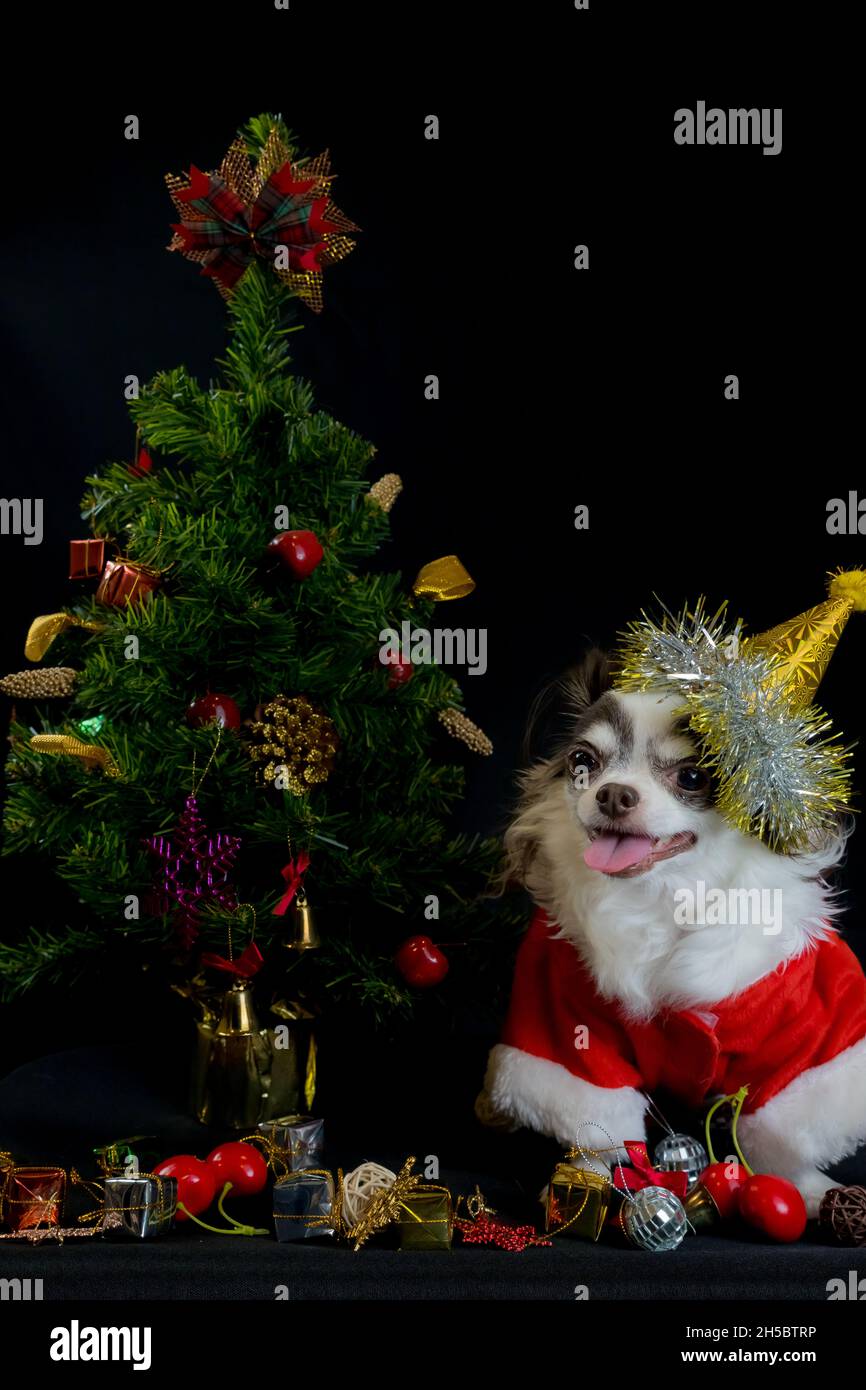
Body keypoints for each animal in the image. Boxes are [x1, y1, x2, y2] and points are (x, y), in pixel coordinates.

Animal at [480, 650, 866, 1206]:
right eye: (582, 763)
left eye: (692, 778)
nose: (612, 794)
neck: (664, 897)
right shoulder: (565, 1019)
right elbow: (590, 1117)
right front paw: (582, 1182)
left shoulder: (806, 1024)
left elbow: (787, 1122)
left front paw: (808, 1190)